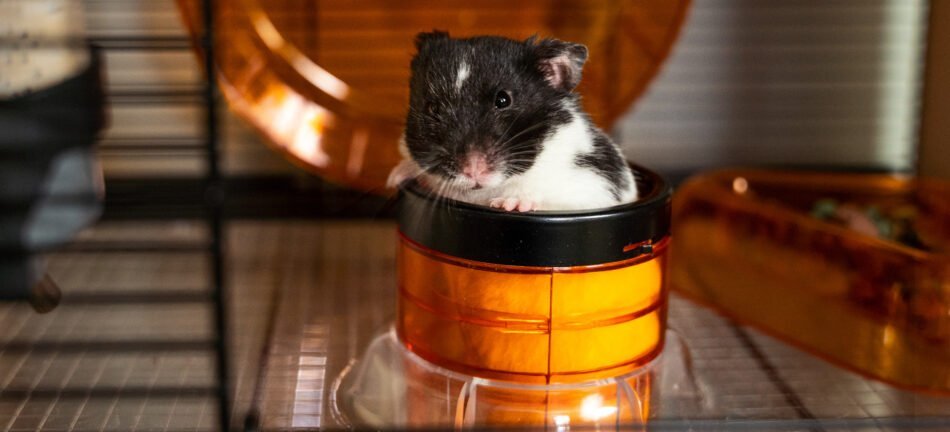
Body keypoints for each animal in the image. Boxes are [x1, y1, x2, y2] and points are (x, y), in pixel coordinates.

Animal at [388, 31, 637, 212]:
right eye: (433, 108)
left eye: (503, 99)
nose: (473, 170)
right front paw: (394, 178)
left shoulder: (595, 184)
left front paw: (509, 204)